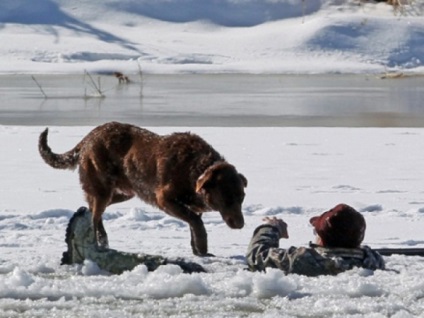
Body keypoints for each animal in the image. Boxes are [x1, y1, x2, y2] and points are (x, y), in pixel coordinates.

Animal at [39, 121, 248, 256]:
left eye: (242, 197)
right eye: (226, 198)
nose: (241, 224)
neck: (195, 168)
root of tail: (90, 136)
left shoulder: (193, 206)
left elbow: (194, 223)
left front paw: (198, 251)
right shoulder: (164, 199)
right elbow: (196, 222)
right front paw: (203, 248)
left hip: (125, 192)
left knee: (92, 208)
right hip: (103, 189)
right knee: (95, 215)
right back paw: (98, 243)